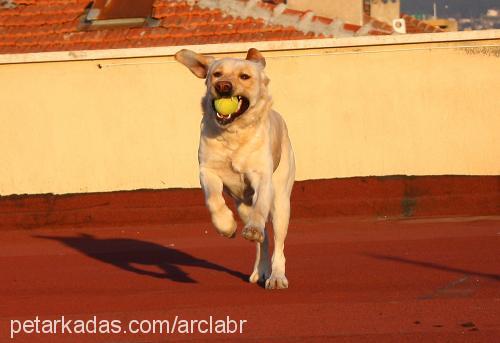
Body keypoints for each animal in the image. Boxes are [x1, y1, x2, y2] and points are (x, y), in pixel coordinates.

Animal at [176, 48, 294, 290]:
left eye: (244, 76)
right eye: (216, 74)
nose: (223, 86)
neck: (233, 134)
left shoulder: (262, 177)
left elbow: (260, 209)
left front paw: (253, 229)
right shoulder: (208, 171)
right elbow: (213, 200)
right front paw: (226, 226)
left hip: (281, 201)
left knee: (278, 242)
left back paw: (276, 276)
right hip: (242, 206)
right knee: (264, 242)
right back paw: (261, 270)